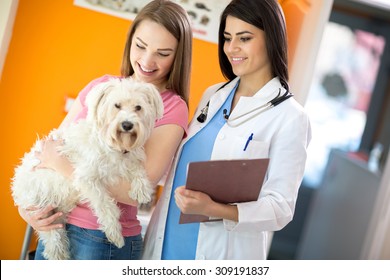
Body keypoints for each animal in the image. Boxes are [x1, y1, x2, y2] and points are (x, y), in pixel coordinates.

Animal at [10, 77, 163, 260]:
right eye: (117, 105)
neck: (114, 145)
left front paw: (141, 189)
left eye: (138, 107)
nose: (127, 125)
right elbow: (105, 205)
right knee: (52, 238)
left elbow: (137, 169)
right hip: (41, 208)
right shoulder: (87, 179)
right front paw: (115, 233)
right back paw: (59, 254)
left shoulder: (128, 159)